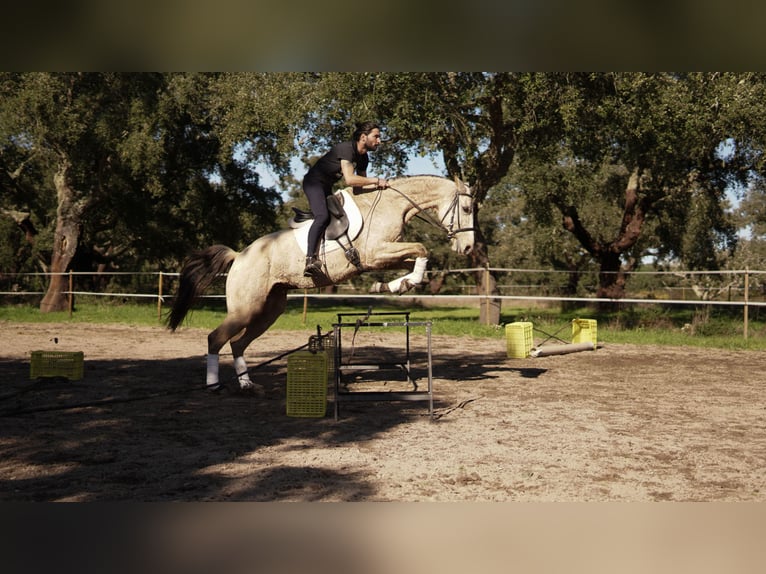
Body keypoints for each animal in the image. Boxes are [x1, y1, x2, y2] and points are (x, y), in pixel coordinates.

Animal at [166, 174, 475, 393]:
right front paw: (399, 284)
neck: (390, 206)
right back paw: (214, 385)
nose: (469, 248)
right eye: (466, 207)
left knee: (238, 343)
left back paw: (247, 385)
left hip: (269, 310)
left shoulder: (381, 258)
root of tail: (239, 255)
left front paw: (394, 286)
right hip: (246, 309)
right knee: (216, 338)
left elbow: (418, 257)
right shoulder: (375, 253)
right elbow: (423, 248)